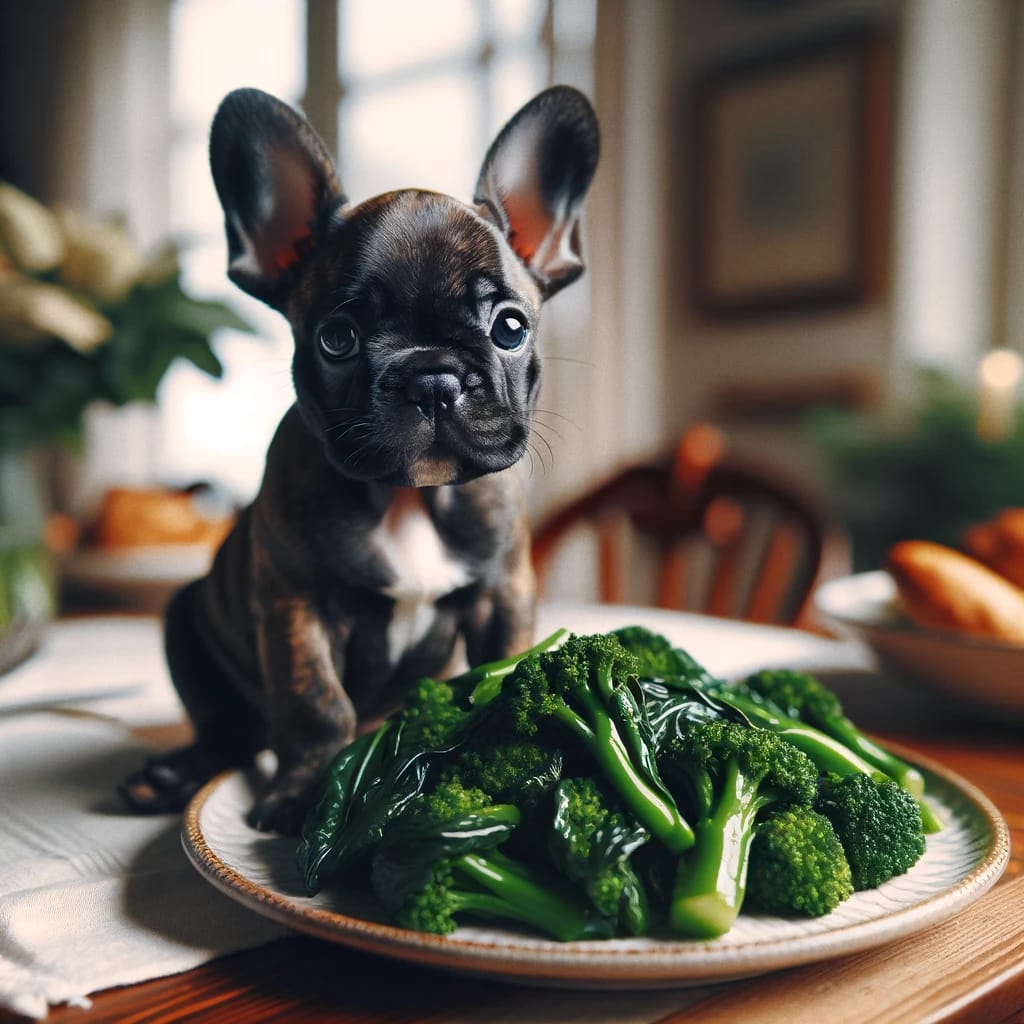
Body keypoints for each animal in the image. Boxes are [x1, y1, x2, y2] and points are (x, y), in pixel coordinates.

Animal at [119, 81, 598, 831]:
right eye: (337, 338)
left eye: (510, 328)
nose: (432, 377)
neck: (407, 497)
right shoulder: (298, 607)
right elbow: (316, 705)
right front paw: (299, 793)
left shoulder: (503, 594)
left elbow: (503, 671)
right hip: (186, 622)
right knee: (227, 732)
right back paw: (167, 777)